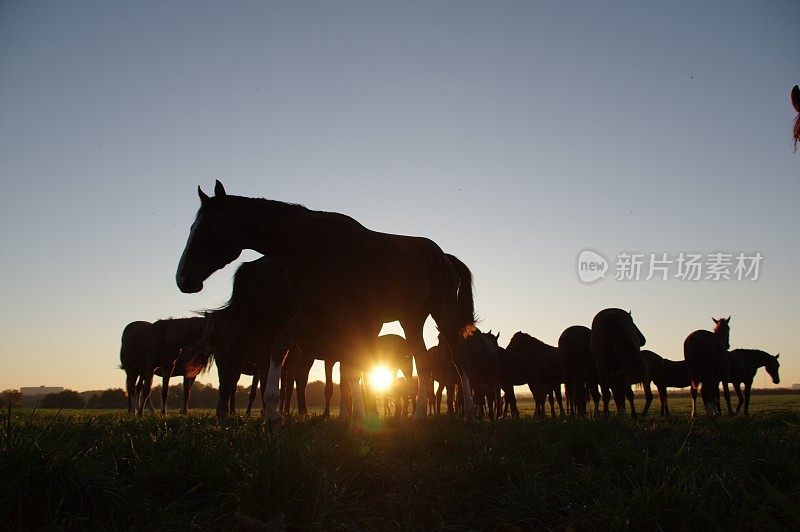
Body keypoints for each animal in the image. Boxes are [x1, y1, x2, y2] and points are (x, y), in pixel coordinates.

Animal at [176, 181, 478, 426]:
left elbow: (354, 366)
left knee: (459, 357)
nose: (183, 279)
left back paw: (469, 412)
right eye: (192, 227)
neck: (313, 247)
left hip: (443, 314)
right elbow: (281, 345)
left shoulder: (348, 316)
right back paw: (418, 418)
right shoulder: (311, 310)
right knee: (424, 362)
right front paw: (273, 414)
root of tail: (445, 257)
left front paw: (362, 419)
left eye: (210, 227)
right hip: (411, 319)